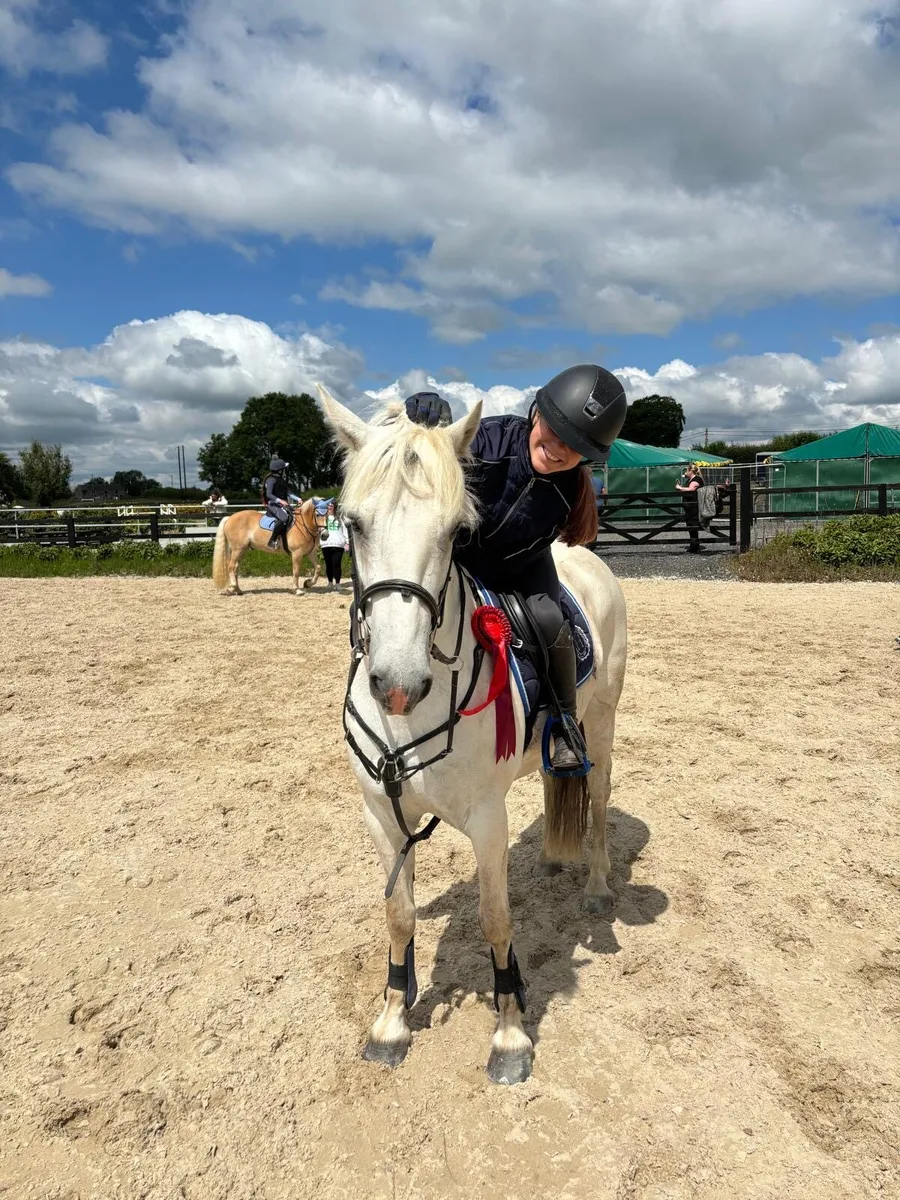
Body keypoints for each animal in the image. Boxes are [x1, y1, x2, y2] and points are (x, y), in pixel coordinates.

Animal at [316, 384, 628, 1085]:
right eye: (353, 523)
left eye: (457, 532)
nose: (398, 682)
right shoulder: (382, 813)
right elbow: (399, 914)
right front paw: (392, 1021)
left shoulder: (486, 817)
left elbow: (495, 918)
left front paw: (510, 1034)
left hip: (601, 725)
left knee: (596, 803)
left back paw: (596, 887)